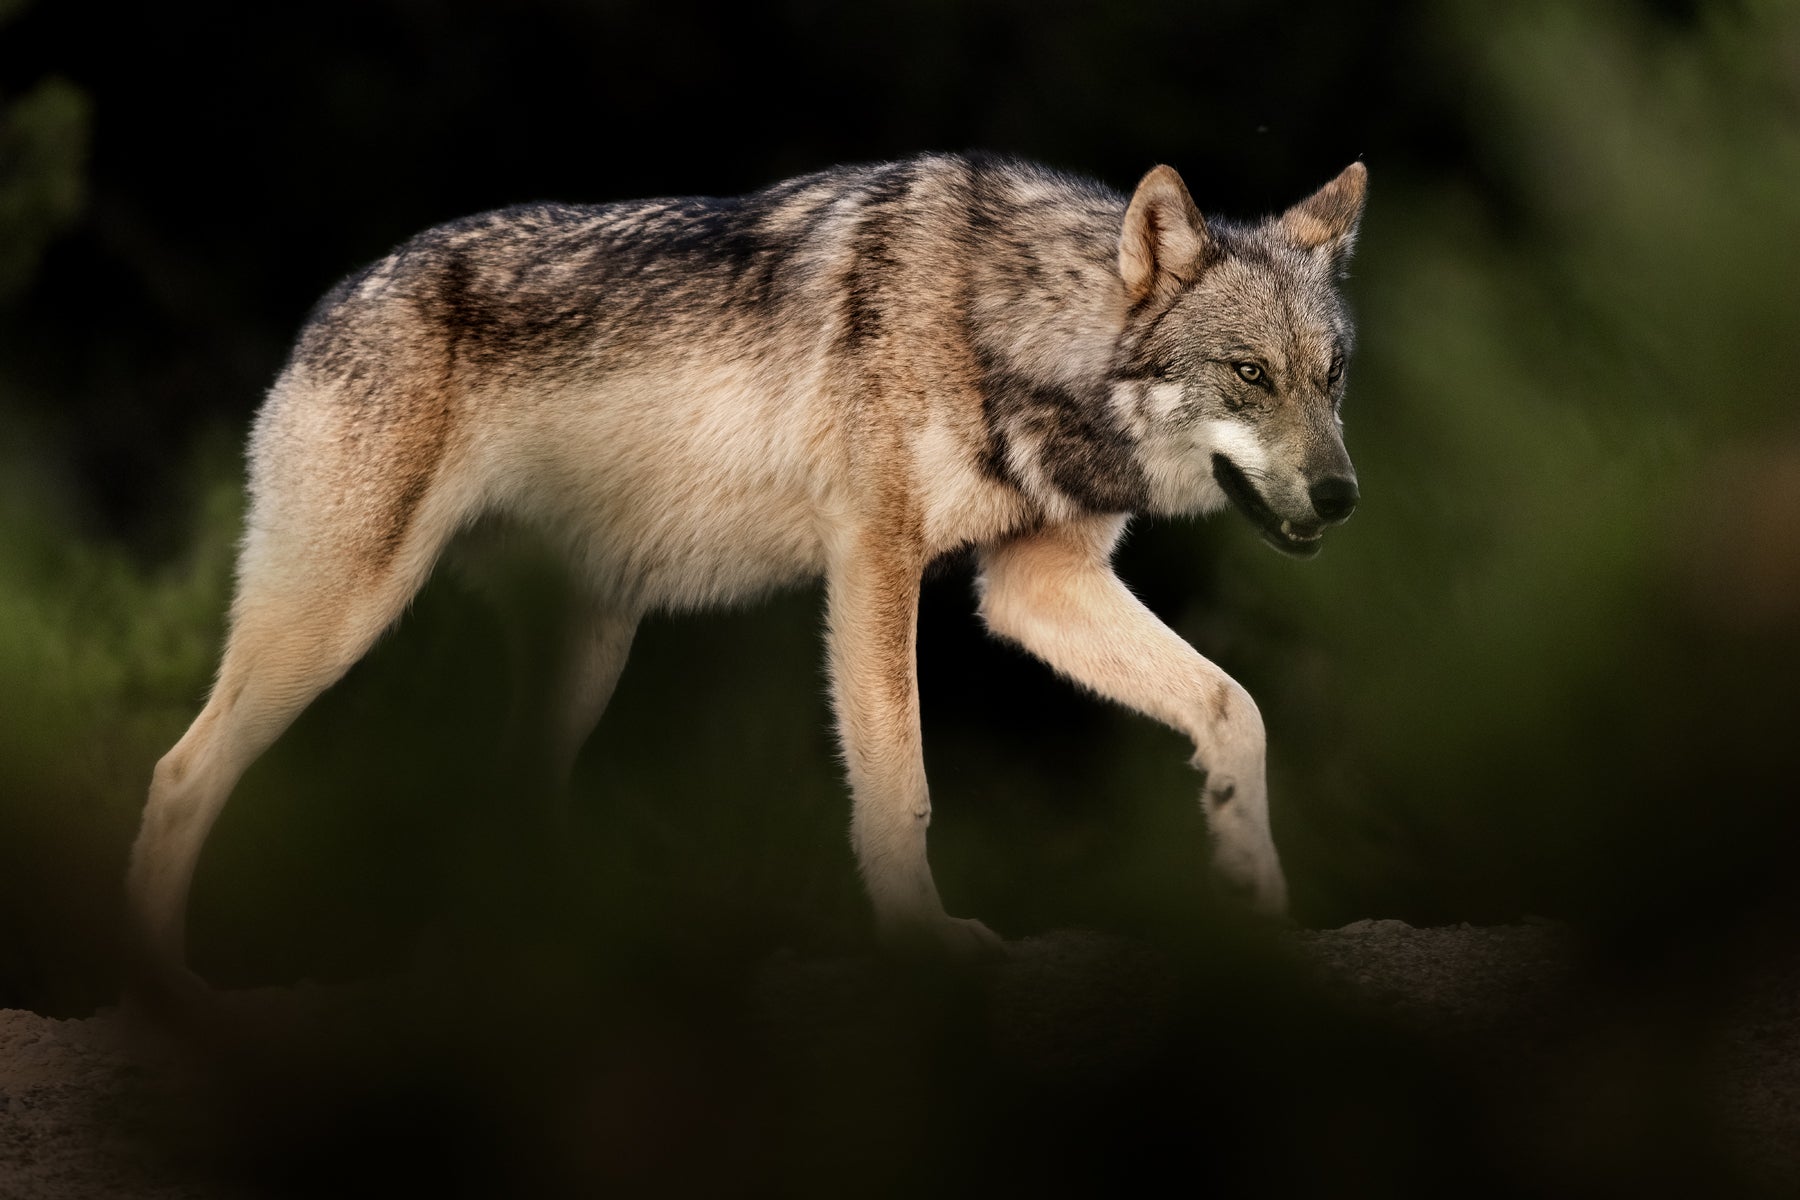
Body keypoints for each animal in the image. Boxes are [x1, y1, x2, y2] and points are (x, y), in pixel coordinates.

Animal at [126, 153, 1366, 983]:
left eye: (1333, 376)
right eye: (1249, 374)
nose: (1344, 497)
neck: (1004, 326)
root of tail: (332, 302)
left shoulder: (1033, 588)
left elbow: (1237, 706)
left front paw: (1254, 882)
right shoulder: (873, 562)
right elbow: (902, 788)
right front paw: (923, 941)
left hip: (586, 656)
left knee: (503, 806)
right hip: (338, 620)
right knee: (180, 773)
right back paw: (167, 992)